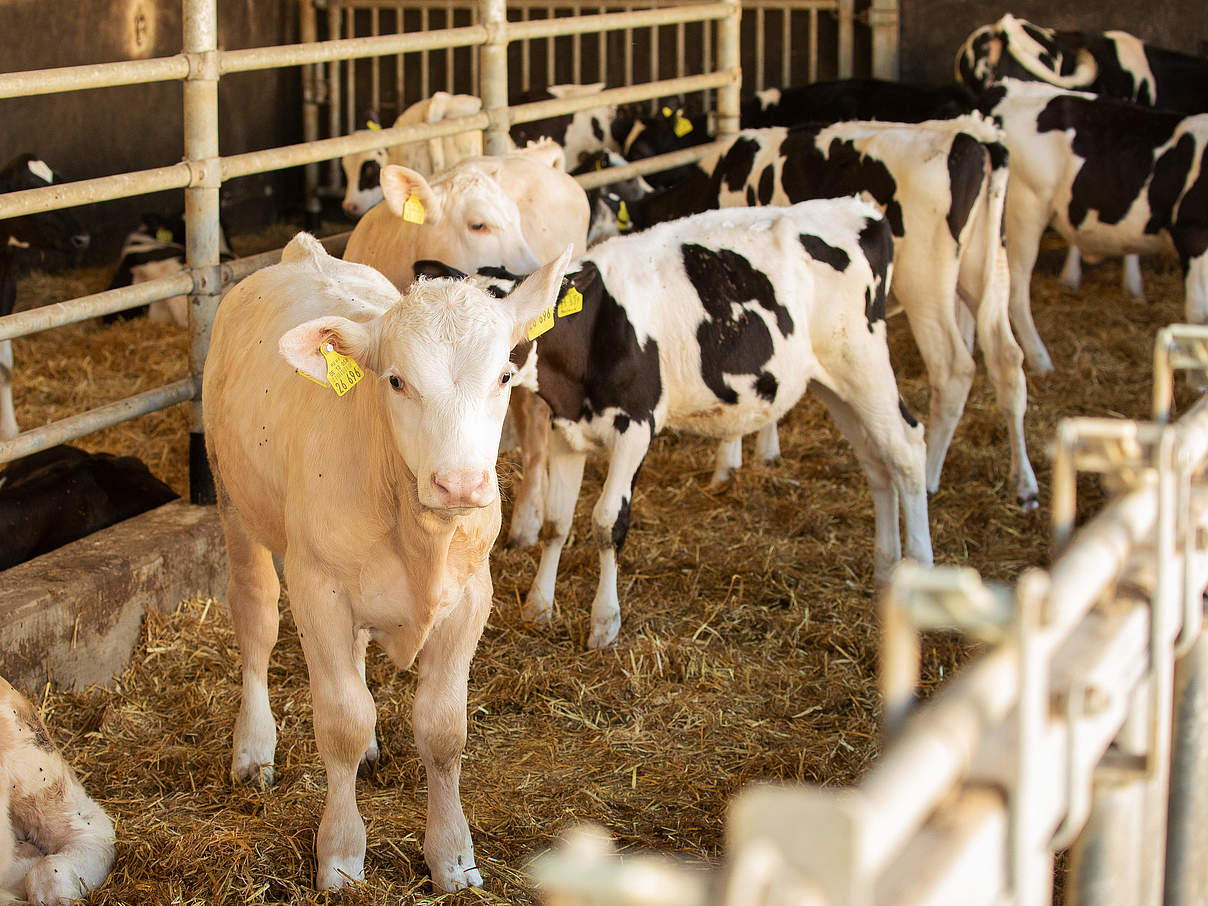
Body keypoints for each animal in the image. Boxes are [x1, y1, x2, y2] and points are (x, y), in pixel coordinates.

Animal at [0, 158, 89, 444]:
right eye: (28, 187)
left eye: (57, 183)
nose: (82, 238)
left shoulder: (6, 298)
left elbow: (5, 366)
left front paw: (9, 433)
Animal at [425, 201, 932, 647]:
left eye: (507, 351)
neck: (591, 334)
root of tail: (861, 210)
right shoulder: (567, 431)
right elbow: (557, 522)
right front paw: (538, 606)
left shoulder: (636, 425)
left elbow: (607, 521)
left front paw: (605, 624)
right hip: (833, 381)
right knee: (875, 459)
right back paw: (887, 568)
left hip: (862, 360)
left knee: (907, 447)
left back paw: (922, 567)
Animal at [980, 79, 1208, 372]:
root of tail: (1007, 87)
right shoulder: (1192, 235)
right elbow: (1198, 315)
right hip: (1023, 211)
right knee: (1015, 292)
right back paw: (1040, 360)